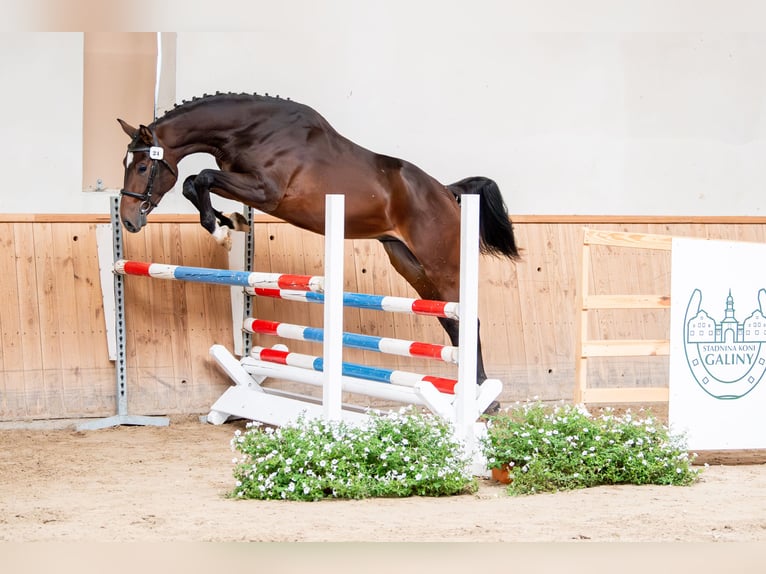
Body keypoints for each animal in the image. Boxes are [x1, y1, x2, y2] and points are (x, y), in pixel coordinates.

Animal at [117, 92, 520, 404]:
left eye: (142, 166)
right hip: (408, 263)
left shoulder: (266, 191)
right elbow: (193, 182)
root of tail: (446, 193)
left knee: (467, 319)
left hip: (441, 263)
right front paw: (231, 221)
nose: (128, 220)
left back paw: (484, 395)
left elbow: (199, 177)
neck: (251, 130)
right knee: (449, 321)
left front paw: (220, 229)